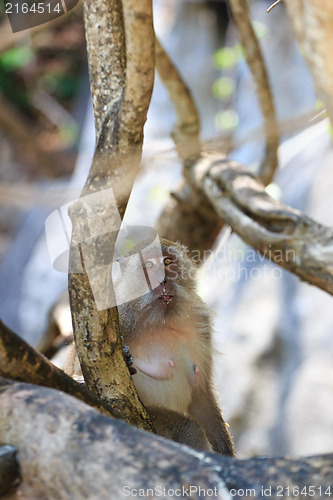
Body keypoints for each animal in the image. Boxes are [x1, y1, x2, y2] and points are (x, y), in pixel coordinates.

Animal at [65, 238, 233, 458]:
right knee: (188, 427)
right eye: (150, 266)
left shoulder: (199, 320)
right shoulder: (119, 314)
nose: (163, 281)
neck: (162, 318)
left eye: (168, 261)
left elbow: (201, 393)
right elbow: (85, 369)